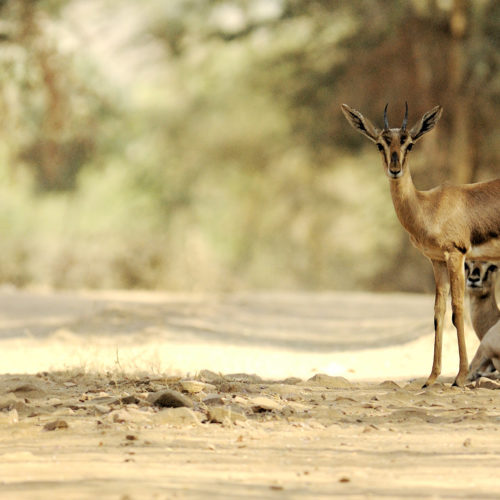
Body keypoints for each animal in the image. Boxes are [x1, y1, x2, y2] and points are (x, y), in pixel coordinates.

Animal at [342, 102, 500, 386]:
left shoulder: (456, 255)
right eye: (380, 144)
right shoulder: (436, 261)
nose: (395, 169)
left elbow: (457, 310)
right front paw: (431, 378)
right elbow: (438, 312)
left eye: (410, 144)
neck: (429, 206)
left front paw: (459, 377)